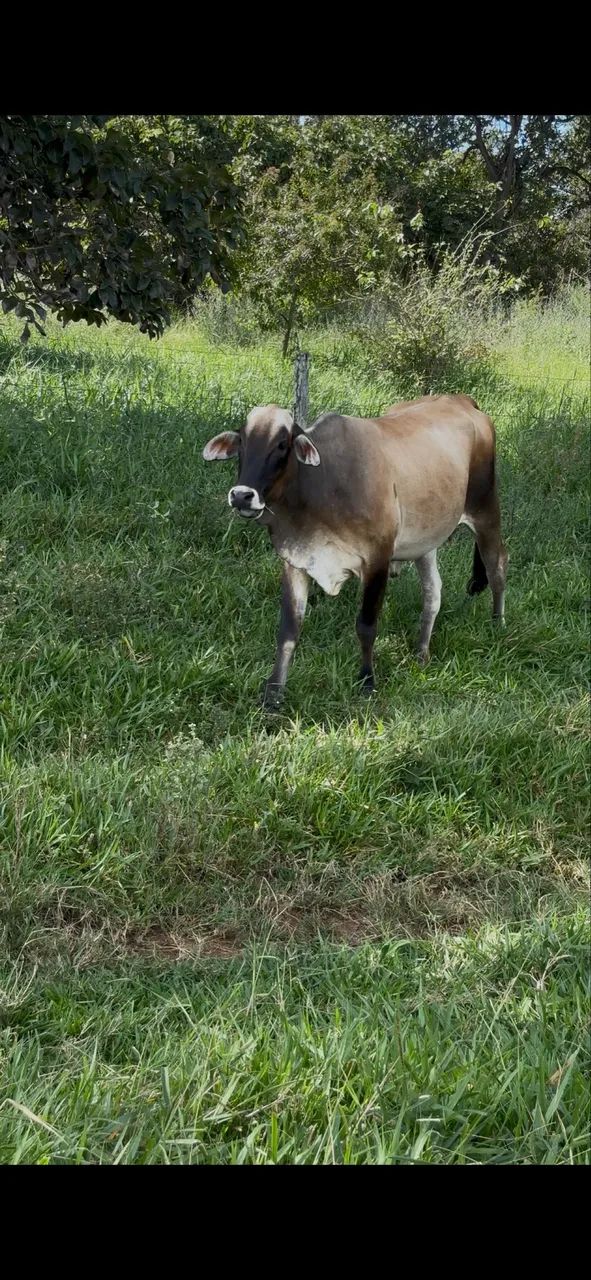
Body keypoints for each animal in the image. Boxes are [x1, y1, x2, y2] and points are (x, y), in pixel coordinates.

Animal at [203, 396, 507, 708]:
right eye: (242, 440)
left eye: (282, 444)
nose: (242, 495)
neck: (322, 486)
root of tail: (460, 400)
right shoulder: (296, 562)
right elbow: (288, 631)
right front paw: (274, 693)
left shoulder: (377, 561)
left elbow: (366, 626)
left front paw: (367, 682)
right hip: (425, 541)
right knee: (433, 592)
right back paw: (421, 652)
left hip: (485, 509)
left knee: (497, 566)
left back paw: (497, 625)